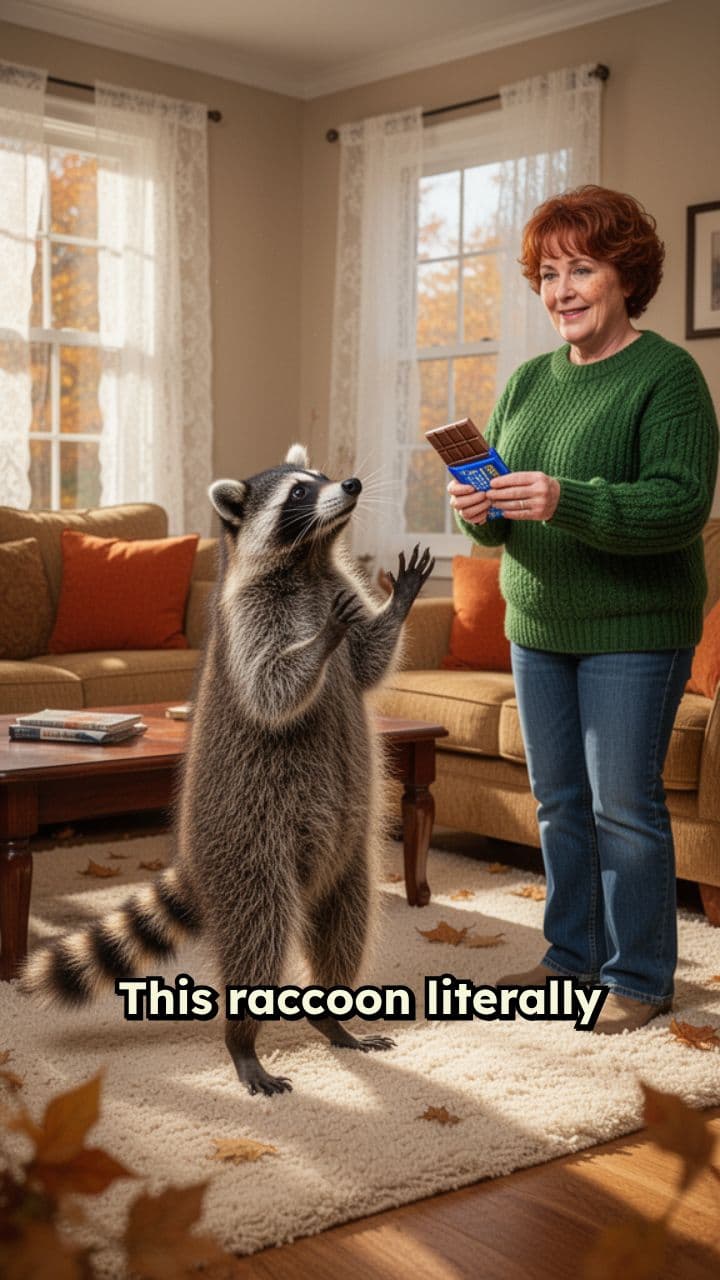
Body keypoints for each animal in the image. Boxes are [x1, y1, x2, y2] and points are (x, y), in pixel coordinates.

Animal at [22, 444, 434, 1096]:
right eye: (299, 493)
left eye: (321, 477)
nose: (350, 483)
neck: (309, 561)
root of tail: (196, 857)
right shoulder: (250, 618)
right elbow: (273, 689)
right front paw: (324, 637)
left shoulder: (333, 585)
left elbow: (368, 661)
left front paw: (398, 600)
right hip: (252, 845)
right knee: (258, 939)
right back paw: (242, 1042)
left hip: (347, 858)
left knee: (346, 923)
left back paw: (332, 1017)